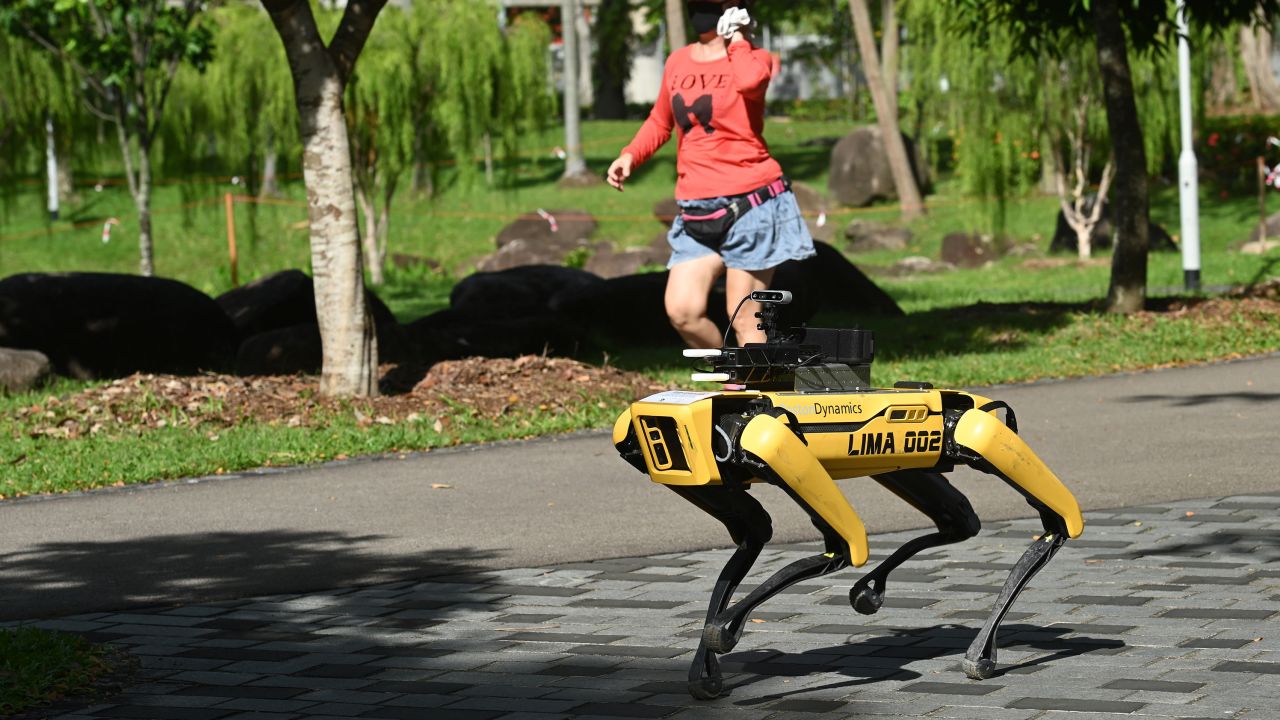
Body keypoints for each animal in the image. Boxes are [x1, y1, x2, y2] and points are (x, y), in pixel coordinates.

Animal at [609, 288, 1080, 696]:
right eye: (653, 436)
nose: (653, 436)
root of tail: (975, 401)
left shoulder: (768, 439)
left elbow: (844, 545)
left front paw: (723, 629)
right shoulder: (737, 468)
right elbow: (756, 533)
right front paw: (708, 668)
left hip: (970, 431)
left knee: (1059, 520)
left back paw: (977, 645)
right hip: (909, 464)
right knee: (960, 519)